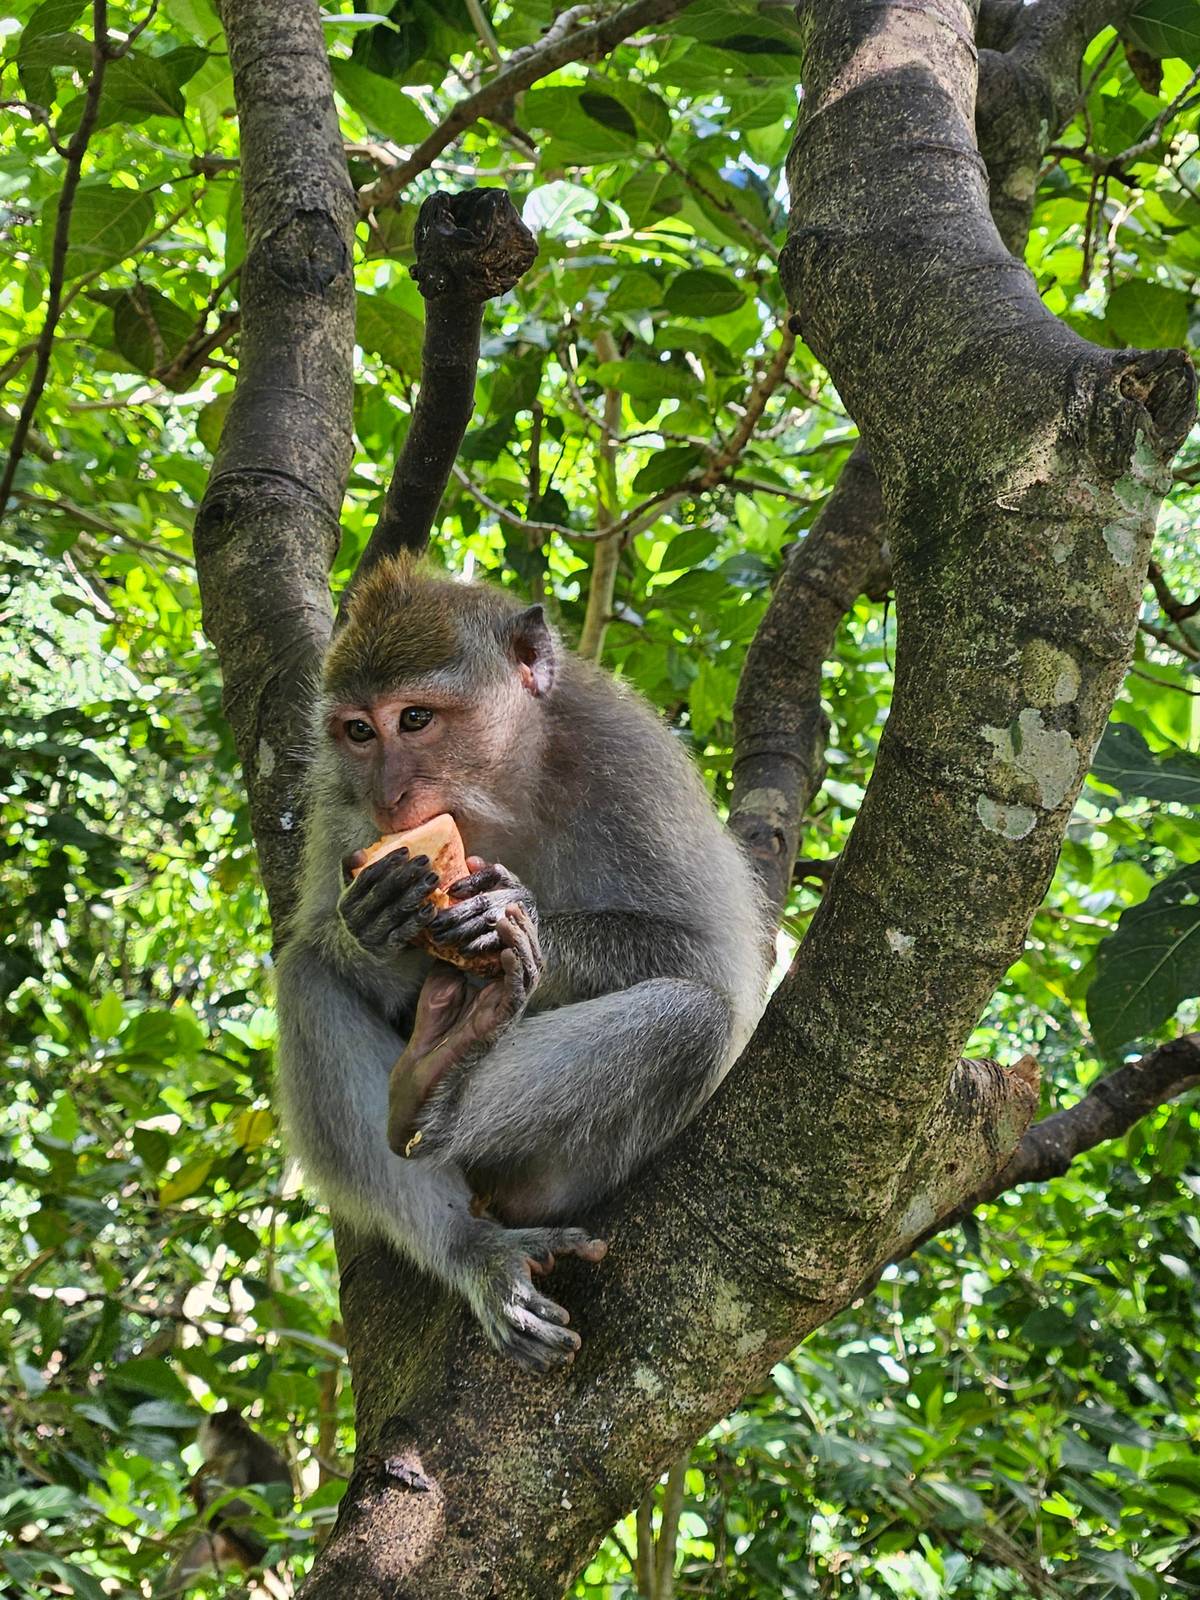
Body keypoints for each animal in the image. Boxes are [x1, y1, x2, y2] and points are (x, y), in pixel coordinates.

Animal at [275, 553, 771, 1372]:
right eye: (358, 731)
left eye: (416, 719)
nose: (390, 796)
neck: (505, 790)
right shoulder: (337, 799)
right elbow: (325, 940)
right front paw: (373, 924)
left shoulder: (630, 765)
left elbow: (720, 963)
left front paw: (517, 914)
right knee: (308, 974)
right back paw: (469, 1239)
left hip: (568, 1177)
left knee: (691, 1019)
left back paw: (436, 1095)